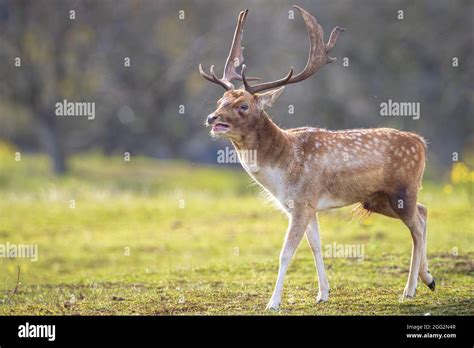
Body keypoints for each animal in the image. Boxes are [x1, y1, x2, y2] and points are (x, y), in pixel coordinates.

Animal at [198, 5, 436, 310]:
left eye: (243, 105)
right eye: (220, 101)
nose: (212, 118)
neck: (282, 168)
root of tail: (422, 143)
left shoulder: (302, 201)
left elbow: (286, 252)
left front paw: (273, 303)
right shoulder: (307, 206)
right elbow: (315, 246)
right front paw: (323, 293)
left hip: (402, 190)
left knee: (416, 226)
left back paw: (411, 288)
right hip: (377, 199)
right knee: (424, 212)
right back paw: (427, 279)